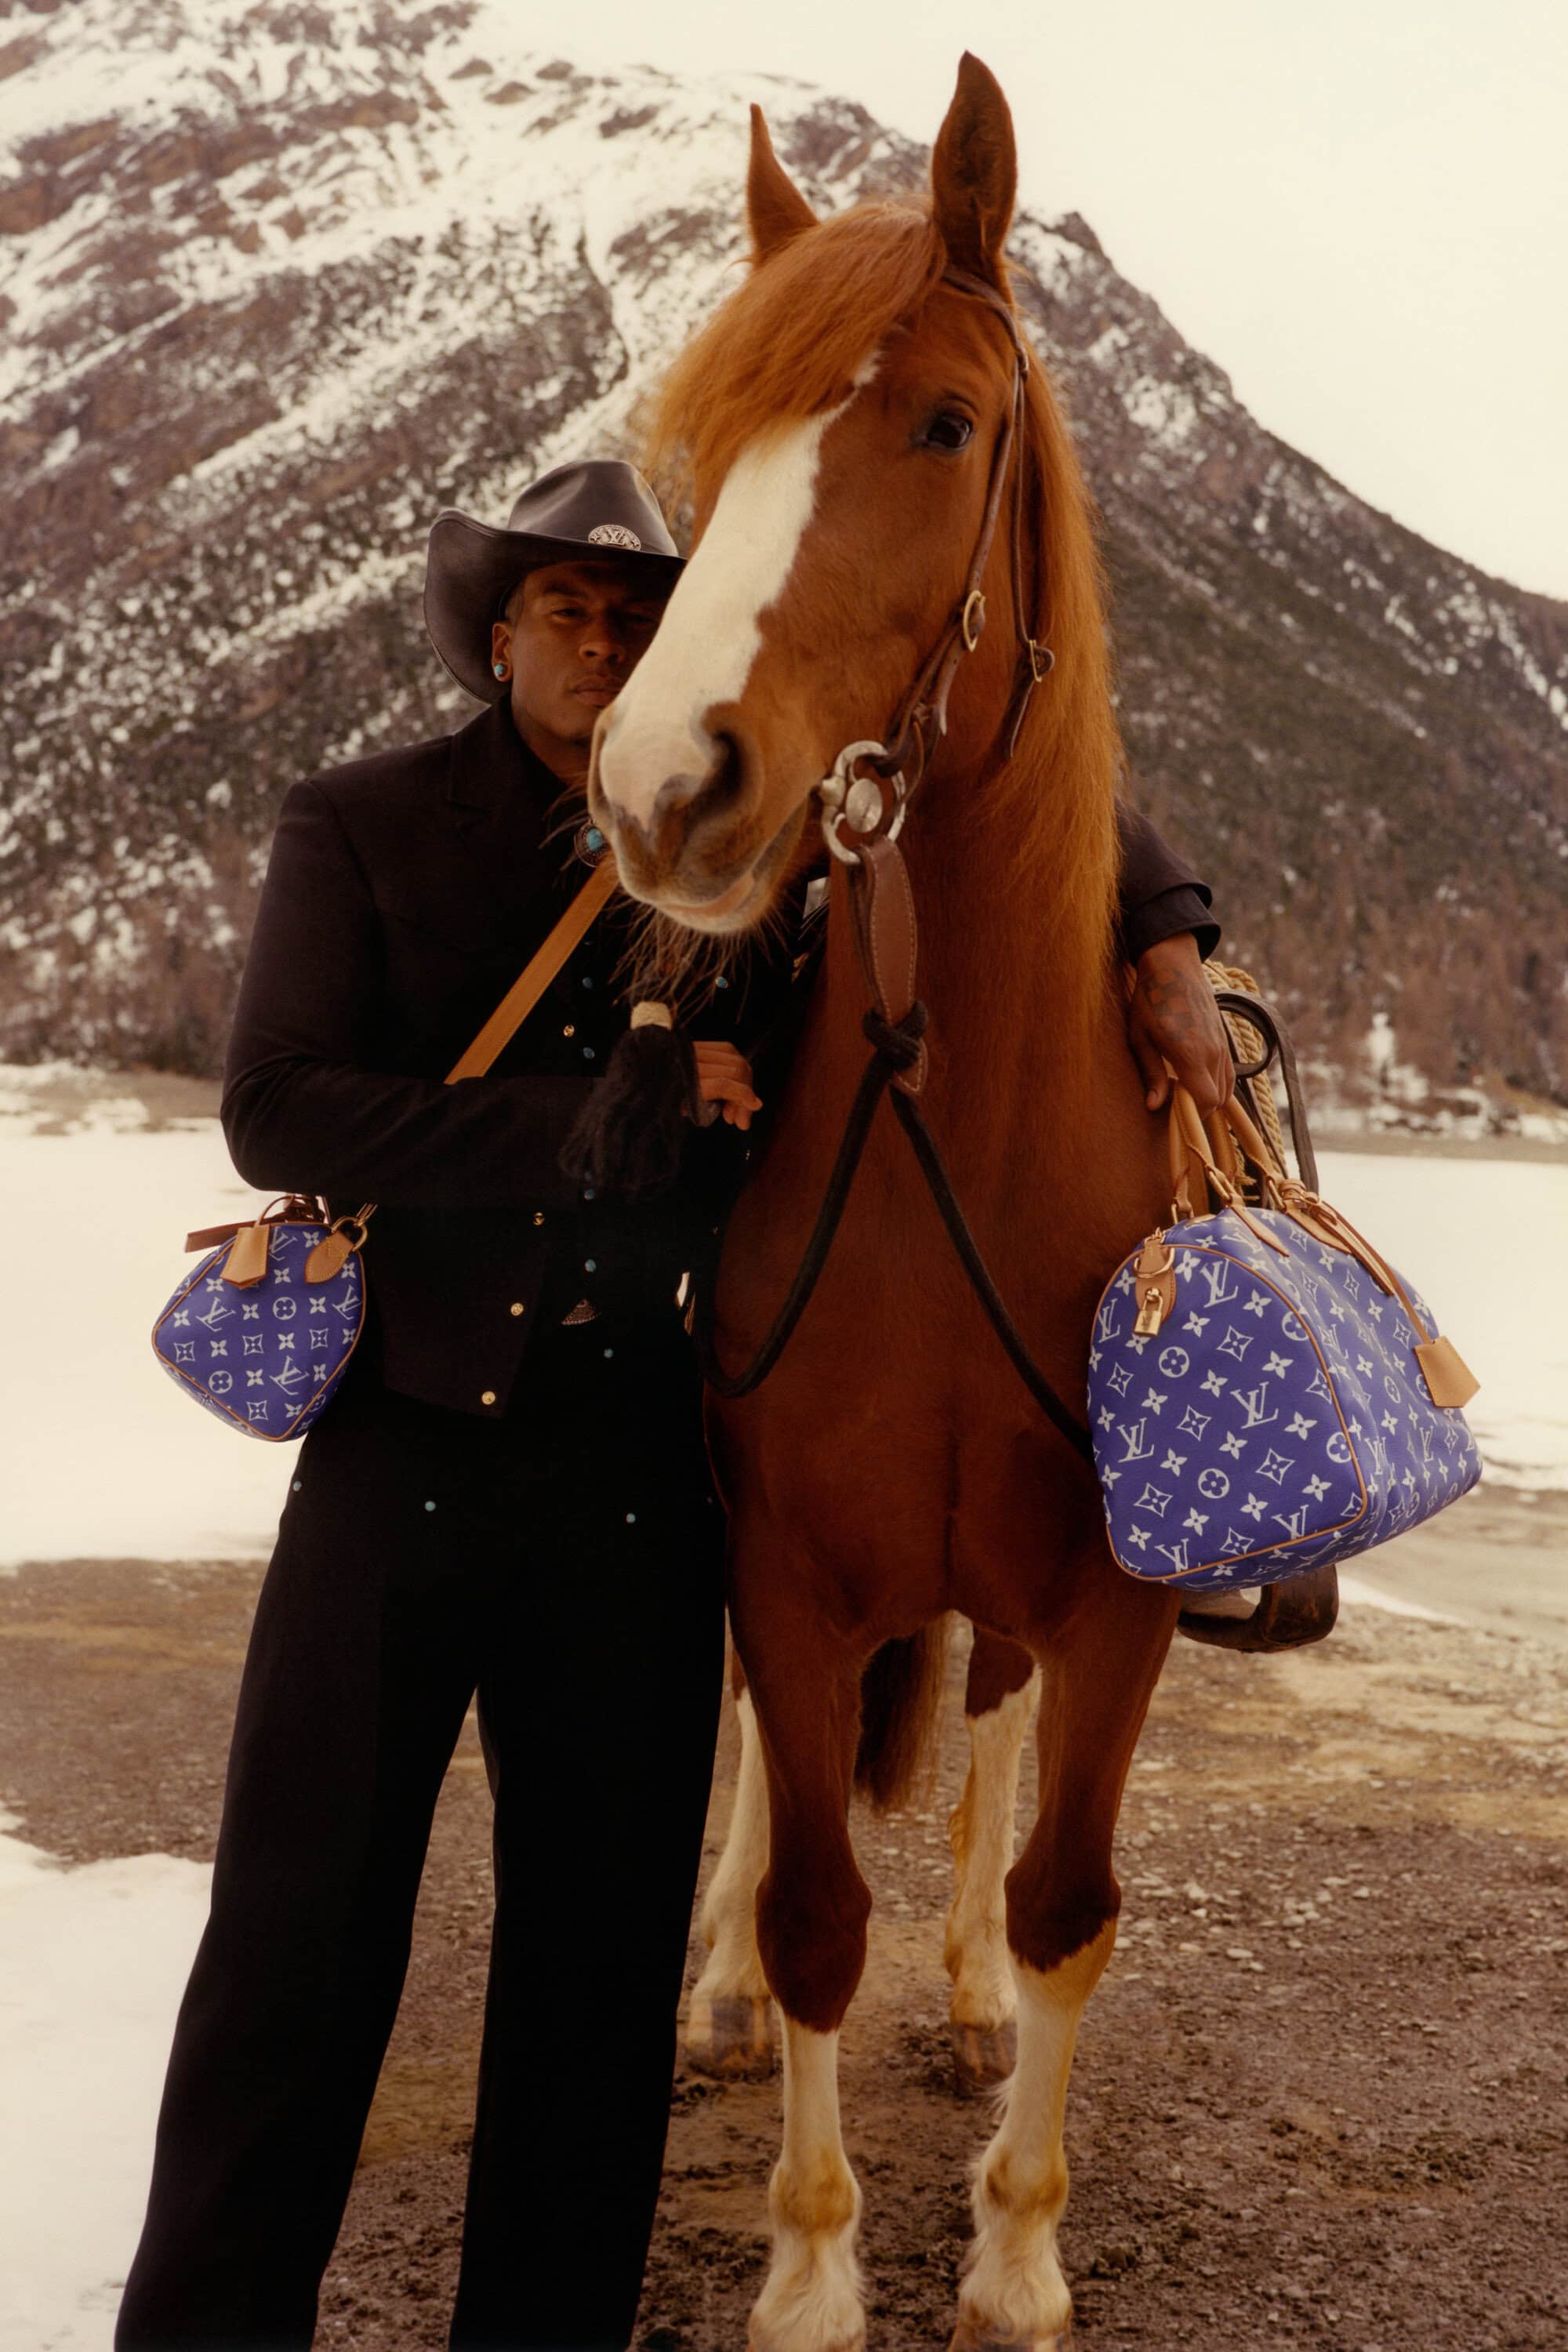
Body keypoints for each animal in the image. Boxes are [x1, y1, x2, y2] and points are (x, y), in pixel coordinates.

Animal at [591, 53, 1187, 2352]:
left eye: (940, 423)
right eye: (707, 450)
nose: (658, 782)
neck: (969, 1126)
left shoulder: (1113, 1597)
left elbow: (1066, 1901)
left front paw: (1013, 2248)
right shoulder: (785, 1563)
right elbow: (815, 1892)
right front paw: (809, 2266)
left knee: (992, 1755)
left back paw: (961, 2003)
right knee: (780, 1797)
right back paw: (718, 1989)